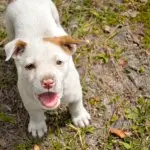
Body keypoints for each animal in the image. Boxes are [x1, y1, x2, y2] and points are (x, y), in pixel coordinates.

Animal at [4, 0, 91, 137]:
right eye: (29, 66)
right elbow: (35, 113)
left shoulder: (75, 91)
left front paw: (80, 117)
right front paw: (37, 126)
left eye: (59, 62)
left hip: (53, 10)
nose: (48, 82)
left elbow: (76, 104)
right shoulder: (28, 100)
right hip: (9, 22)